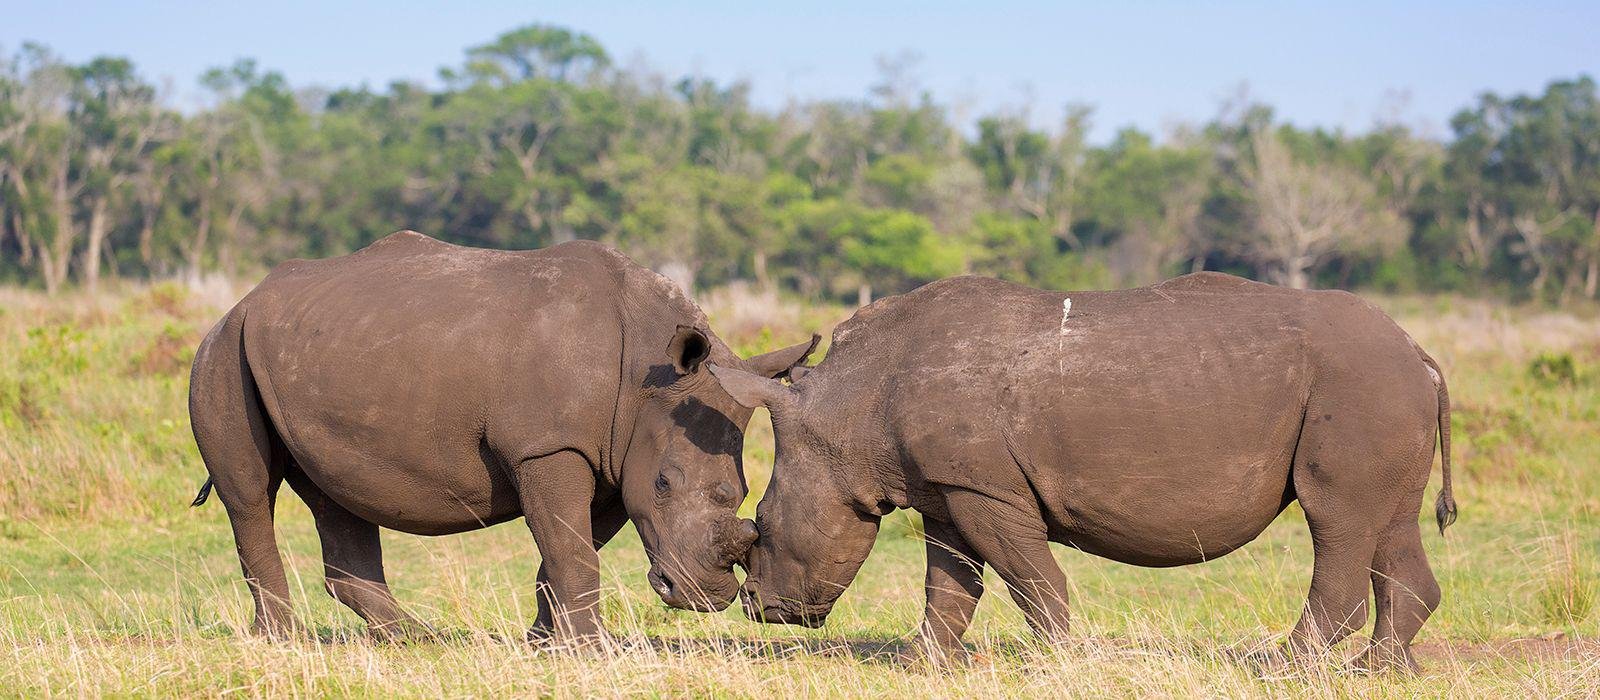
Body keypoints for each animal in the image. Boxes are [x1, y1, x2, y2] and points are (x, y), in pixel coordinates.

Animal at [188, 231, 816, 642]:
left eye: (741, 493)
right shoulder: (549, 445)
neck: (648, 373)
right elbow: (572, 548)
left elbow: (569, 548)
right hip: (222, 351)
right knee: (250, 492)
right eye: (664, 483)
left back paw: (418, 640)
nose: (705, 598)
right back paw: (281, 640)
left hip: (311, 355)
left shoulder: (612, 457)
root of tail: (242, 300)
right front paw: (592, 650)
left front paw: (547, 643)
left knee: (334, 491)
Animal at [711, 272, 1456, 671]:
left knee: (1337, 518)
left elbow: (1027, 573)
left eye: (764, 523)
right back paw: (1378, 670)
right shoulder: (947, 486)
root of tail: (1419, 350)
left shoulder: (983, 487)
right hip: (1380, 388)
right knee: (1388, 521)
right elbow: (949, 583)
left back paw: (1284, 668)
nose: (760, 610)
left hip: (1359, 386)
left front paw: (1055, 658)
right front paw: (924, 664)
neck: (847, 407)